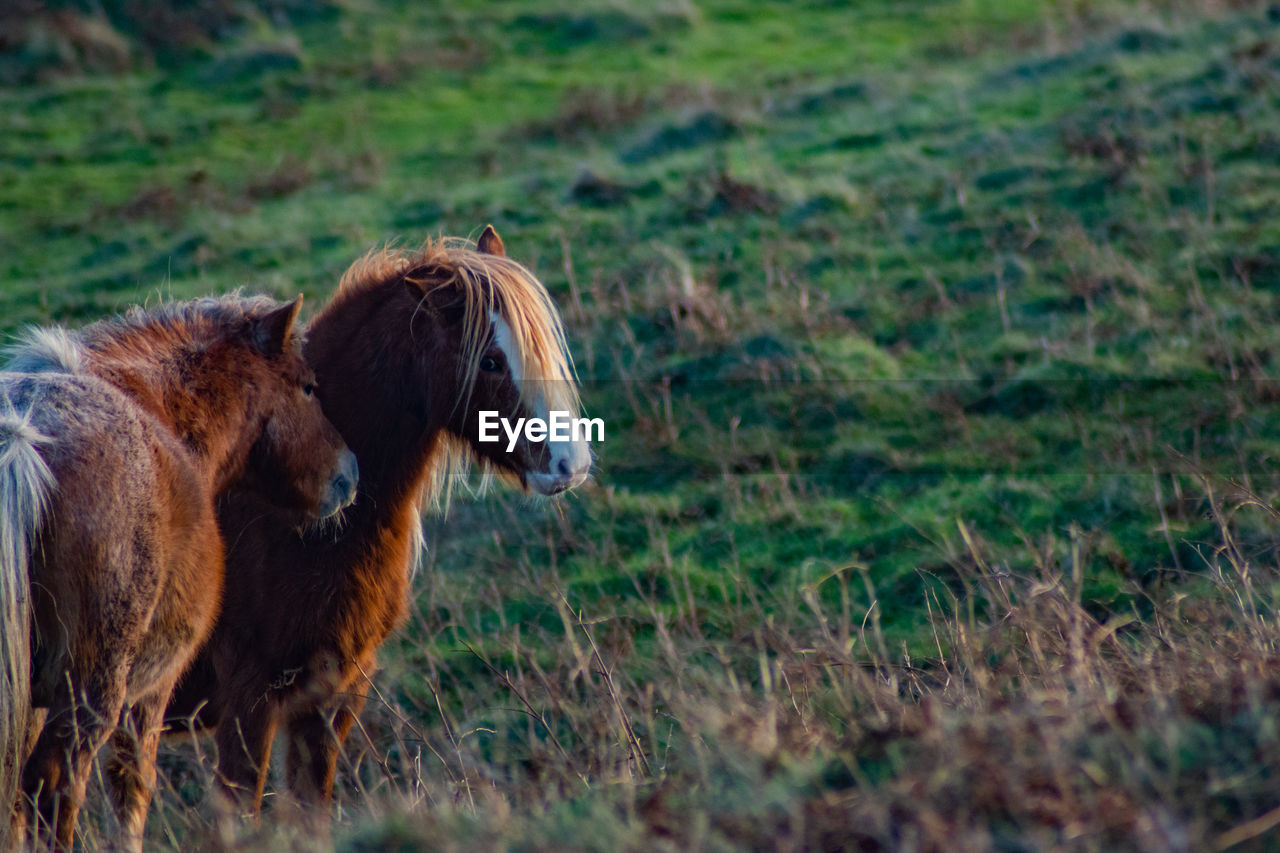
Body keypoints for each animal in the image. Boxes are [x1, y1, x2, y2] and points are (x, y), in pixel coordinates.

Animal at [0, 295, 358, 845]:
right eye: (308, 386)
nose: (349, 474)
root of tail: (23, 438)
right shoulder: (152, 690)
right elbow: (131, 788)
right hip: (94, 689)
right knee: (58, 781)